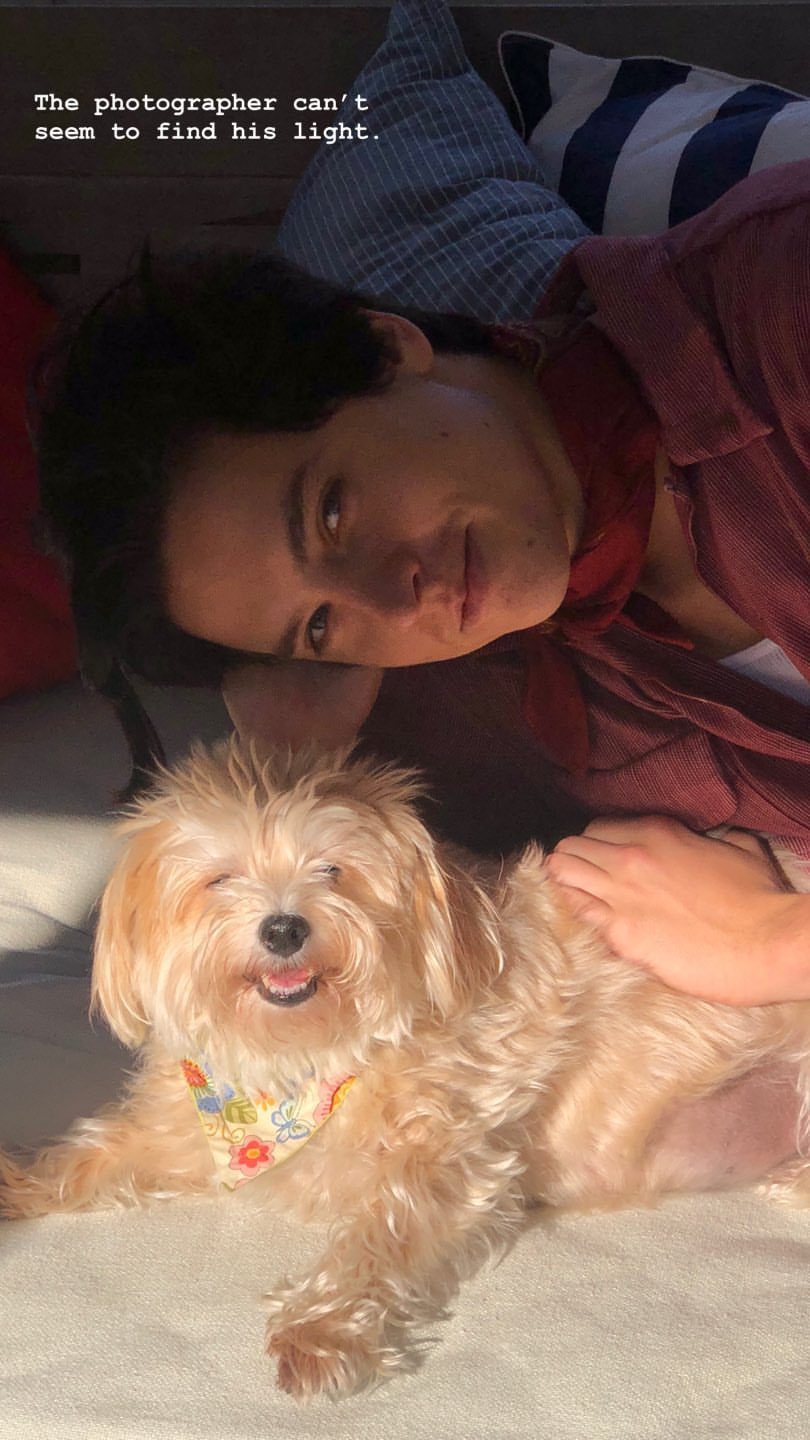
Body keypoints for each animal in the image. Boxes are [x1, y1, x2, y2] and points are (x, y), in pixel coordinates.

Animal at [2, 737, 809, 1401]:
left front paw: (320, 1331)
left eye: (333, 870)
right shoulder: (185, 1124)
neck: (306, 1058)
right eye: (220, 879)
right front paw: (19, 1184)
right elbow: (95, 1151)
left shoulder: (452, 1156)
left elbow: (376, 1235)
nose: (285, 926)